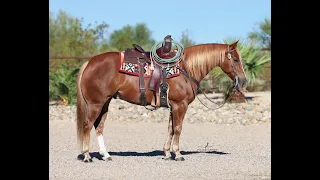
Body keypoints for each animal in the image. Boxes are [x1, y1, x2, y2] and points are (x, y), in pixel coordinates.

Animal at [76, 40, 246, 162]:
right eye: (236, 59)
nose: (243, 81)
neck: (185, 69)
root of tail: (89, 62)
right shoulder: (180, 105)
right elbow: (178, 128)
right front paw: (178, 154)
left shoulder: (173, 106)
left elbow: (170, 129)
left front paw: (167, 153)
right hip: (95, 104)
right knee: (87, 125)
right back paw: (87, 156)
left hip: (105, 104)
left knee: (99, 127)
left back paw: (105, 155)